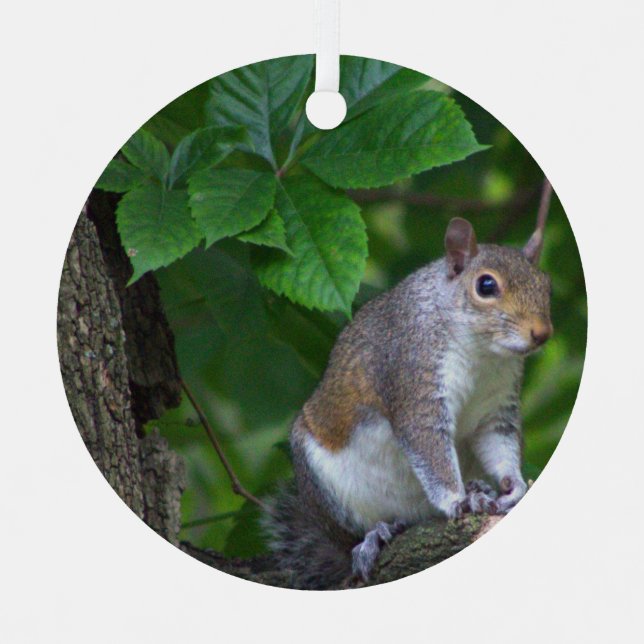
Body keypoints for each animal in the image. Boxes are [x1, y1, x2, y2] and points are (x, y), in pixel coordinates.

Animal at [263, 213, 553, 589]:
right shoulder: (414, 377)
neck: (483, 354)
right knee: (351, 536)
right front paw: (458, 500)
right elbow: (428, 447)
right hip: (325, 488)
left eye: (546, 285)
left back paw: (476, 487)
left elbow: (498, 442)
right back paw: (375, 536)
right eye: (486, 286)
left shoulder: (497, 406)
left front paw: (512, 485)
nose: (542, 333)